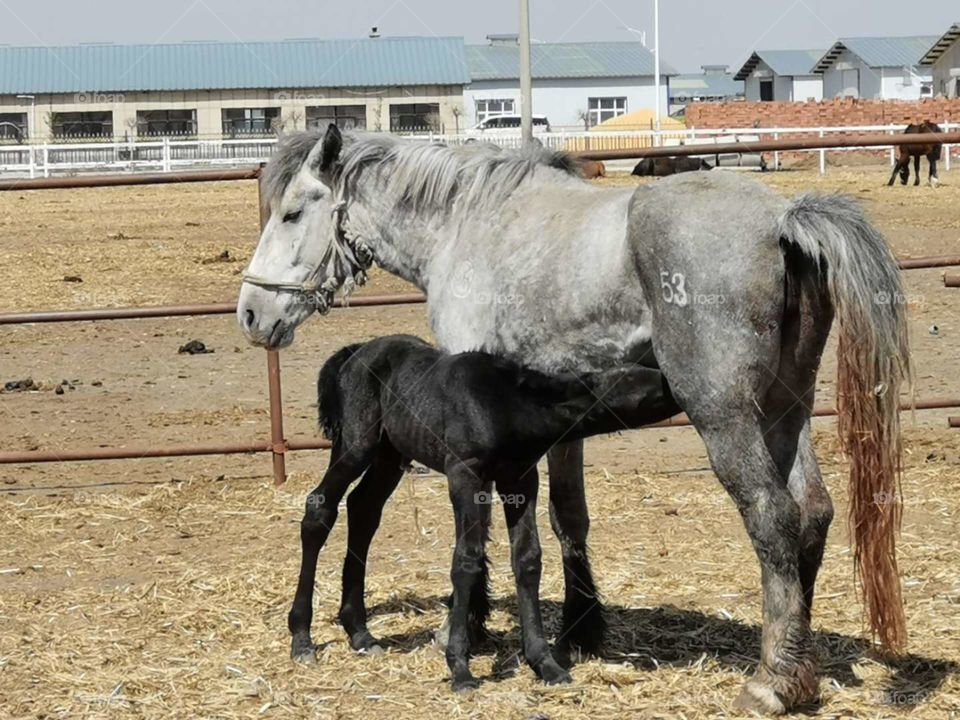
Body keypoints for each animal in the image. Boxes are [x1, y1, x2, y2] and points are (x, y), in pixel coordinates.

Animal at [288, 334, 679, 690]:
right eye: (647, 383)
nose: (677, 386)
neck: (506, 404)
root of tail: (353, 353)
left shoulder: (520, 479)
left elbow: (528, 559)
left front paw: (545, 664)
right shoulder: (465, 473)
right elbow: (466, 560)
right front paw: (460, 667)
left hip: (390, 454)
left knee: (363, 510)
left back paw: (360, 633)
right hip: (357, 444)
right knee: (320, 507)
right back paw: (302, 639)